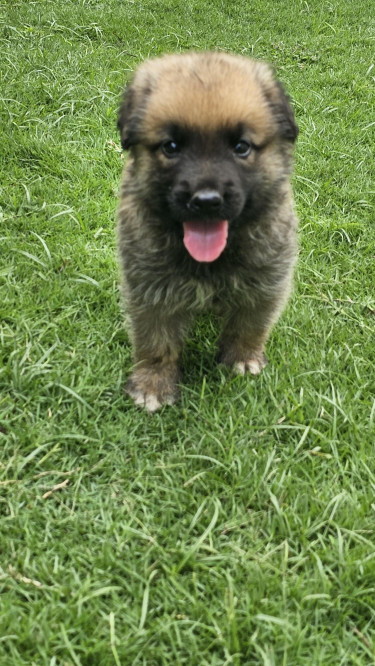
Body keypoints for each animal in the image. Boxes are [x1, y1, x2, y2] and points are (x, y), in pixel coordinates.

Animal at [117, 50, 300, 410]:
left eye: (241, 147)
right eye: (171, 146)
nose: (205, 202)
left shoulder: (267, 282)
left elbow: (250, 325)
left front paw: (243, 358)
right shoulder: (149, 289)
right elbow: (155, 342)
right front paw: (153, 383)